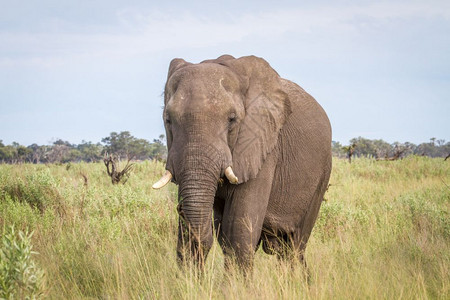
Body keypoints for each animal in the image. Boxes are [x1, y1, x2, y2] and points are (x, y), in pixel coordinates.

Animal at [153, 54, 332, 272]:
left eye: (232, 119)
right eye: (168, 120)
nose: (179, 209)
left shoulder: (262, 145)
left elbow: (238, 230)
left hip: (322, 174)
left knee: (295, 246)